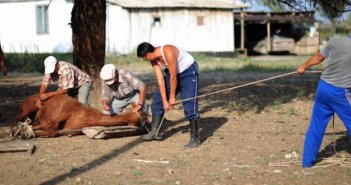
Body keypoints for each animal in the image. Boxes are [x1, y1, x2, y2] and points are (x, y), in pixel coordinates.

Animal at [13, 94, 148, 137]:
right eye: (142, 114)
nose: (148, 122)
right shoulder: (63, 113)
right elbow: (49, 127)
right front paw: (22, 131)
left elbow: (54, 131)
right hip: (26, 109)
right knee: (17, 118)